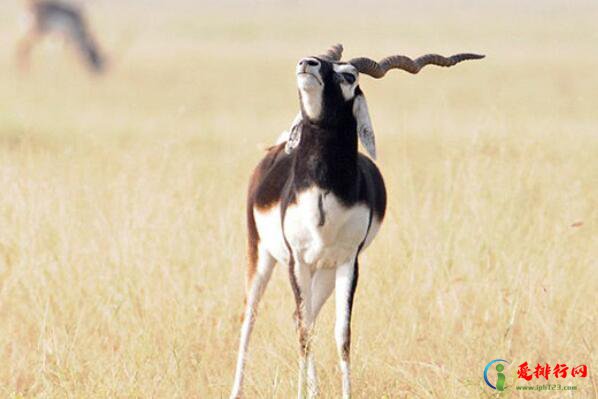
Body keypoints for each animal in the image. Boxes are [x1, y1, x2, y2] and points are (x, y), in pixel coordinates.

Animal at [232, 44, 486, 399]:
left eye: (349, 76)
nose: (307, 63)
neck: (322, 191)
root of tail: (277, 148)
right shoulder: (296, 260)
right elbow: (304, 334)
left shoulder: (349, 262)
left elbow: (342, 335)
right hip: (262, 254)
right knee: (251, 317)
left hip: (322, 271)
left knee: (305, 316)